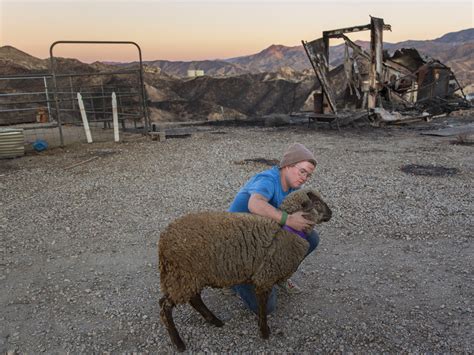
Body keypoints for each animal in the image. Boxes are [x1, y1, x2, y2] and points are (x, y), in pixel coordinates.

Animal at [157, 189, 332, 354]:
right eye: (317, 203)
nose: (331, 213)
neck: (286, 232)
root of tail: (163, 240)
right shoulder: (264, 278)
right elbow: (263, 308)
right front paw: (264, 332)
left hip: (190, 277)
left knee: (194, 299)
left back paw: (215, 321)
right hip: (182, 276)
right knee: (165, 306)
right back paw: (178, 342)